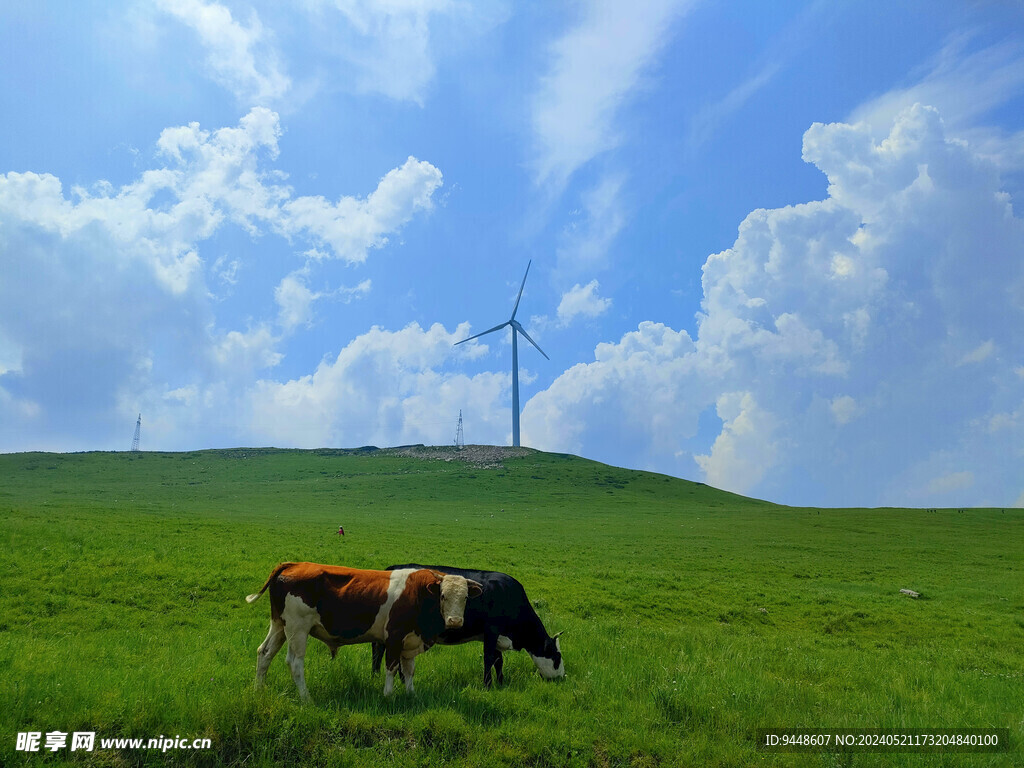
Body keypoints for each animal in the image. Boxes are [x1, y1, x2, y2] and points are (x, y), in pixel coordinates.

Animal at [249, 561, 485, 700]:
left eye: (465, 597)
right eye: (443, 596)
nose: (455, 621)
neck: (419, 594)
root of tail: (294, 564)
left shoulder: (411, 640)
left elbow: (409, 670)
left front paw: (411, 695)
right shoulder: (394, 637)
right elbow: (391, 667)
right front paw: (388, 695)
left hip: (280, 625)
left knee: (265, 652)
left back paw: (259, 689)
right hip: (297, 629)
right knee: (295, 662)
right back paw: (306, 697)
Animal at [370, 569, 565, 688]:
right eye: (557, 657)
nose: (562, 677)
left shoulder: (494, 636)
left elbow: (498, 660)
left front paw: (501, 682)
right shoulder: (492, 631)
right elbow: (489, 658)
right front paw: (487, 685)